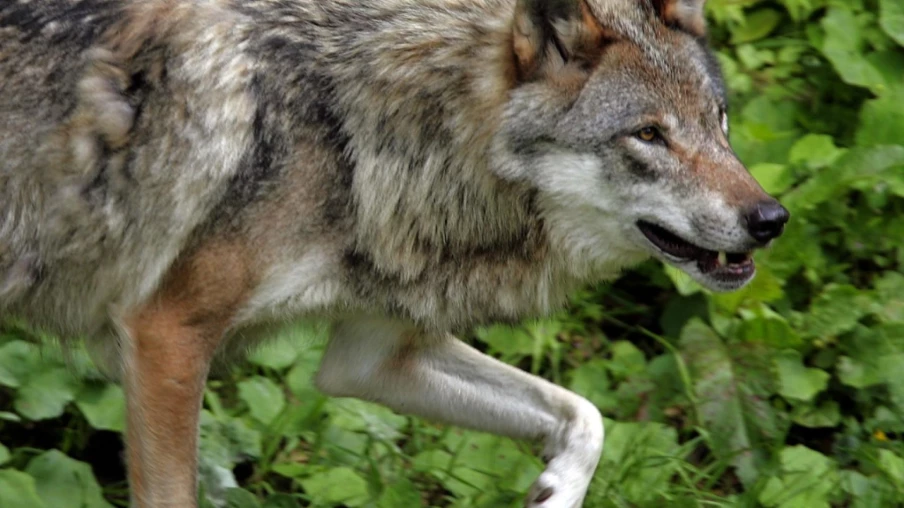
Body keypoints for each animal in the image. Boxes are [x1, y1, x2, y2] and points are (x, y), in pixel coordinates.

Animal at [0, 0, 788, 506]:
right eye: (649, 135)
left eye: (718, 121)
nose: (771, 219)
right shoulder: (166, 336)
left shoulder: (370, 359)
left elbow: (584, 416)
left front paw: (553, 493)